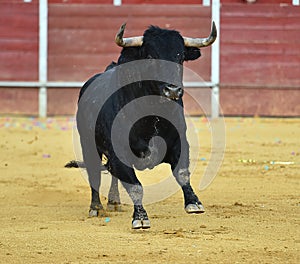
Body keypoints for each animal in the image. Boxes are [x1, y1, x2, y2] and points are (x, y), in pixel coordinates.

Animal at [69, 23, 217, 229]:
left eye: (180, 56)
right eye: (150, 56)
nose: (173, 90)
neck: (151, 114)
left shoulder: (179, 143)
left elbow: (182, 173)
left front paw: (193, 203)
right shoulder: (119, 152)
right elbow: (135, 186)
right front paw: (140, 217)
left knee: (112, 174)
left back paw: (114, 202)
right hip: (88, 145)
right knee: (94, 174)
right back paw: (97, 208)